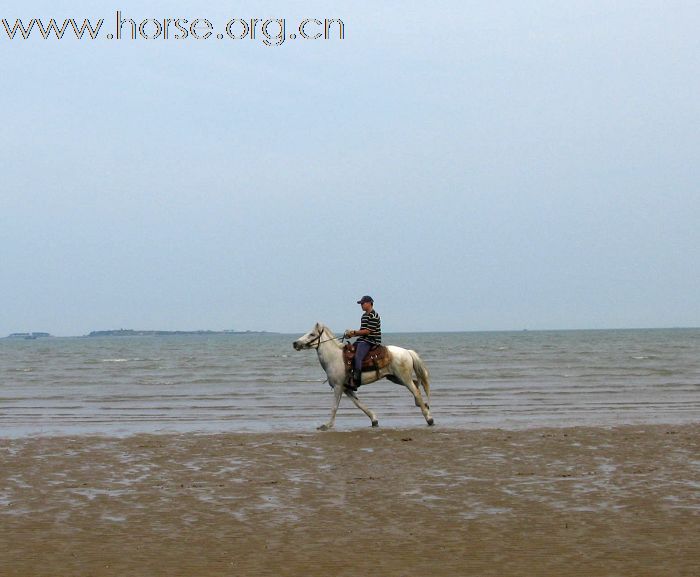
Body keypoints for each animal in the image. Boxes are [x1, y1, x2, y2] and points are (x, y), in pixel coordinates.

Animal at [290, 322, 432, 430]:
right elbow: (359, 404)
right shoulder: (347, 388)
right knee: (416, 385)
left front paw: (326, 425)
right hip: (395, 378)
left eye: (312, 334)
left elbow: (334, 407)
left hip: (403, 378)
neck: (335, 357)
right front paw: (374, 420)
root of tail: (407, 352)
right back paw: (423, 406)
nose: (295, 343)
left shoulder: (338, 387)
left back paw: (429, 418)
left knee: (416, 391)